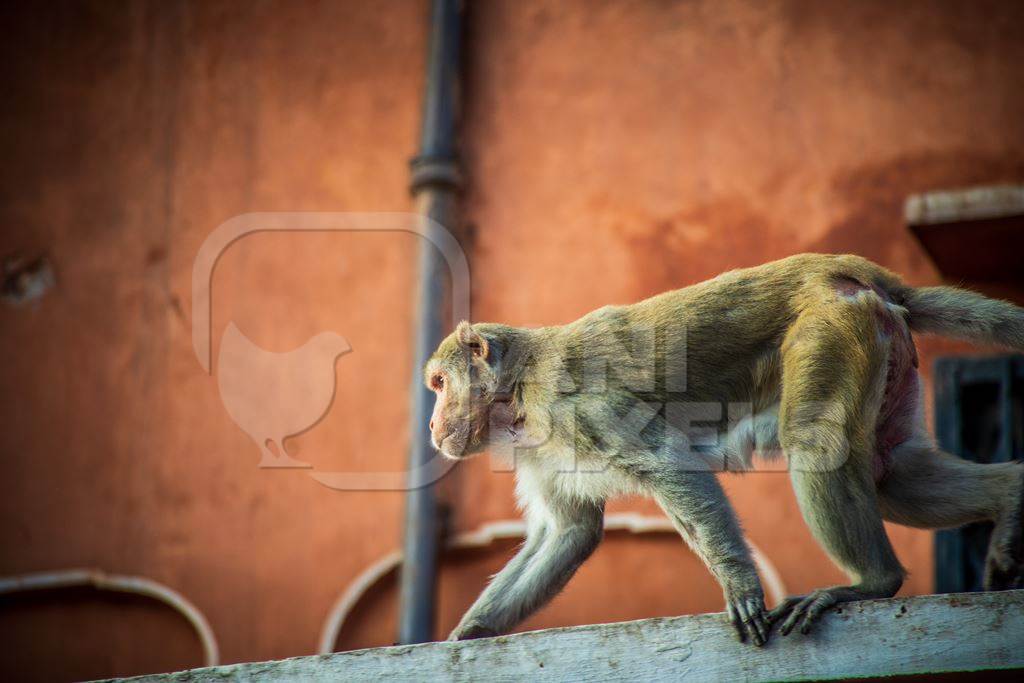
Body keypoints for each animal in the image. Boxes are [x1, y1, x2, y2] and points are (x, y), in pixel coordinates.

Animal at [423, 254, 1024, 647]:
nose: (431, 422)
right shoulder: (540, 454)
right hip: (882, 347)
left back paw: (873, 585)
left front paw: (740, 585)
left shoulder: (579, 406)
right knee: (890, 471)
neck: (519, 391)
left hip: (832, 330)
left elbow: (670, 467)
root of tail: (845, 271)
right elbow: (570, 533)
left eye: (439, 383)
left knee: (816, 443)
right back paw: (1010, 495)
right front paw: (470, 633)